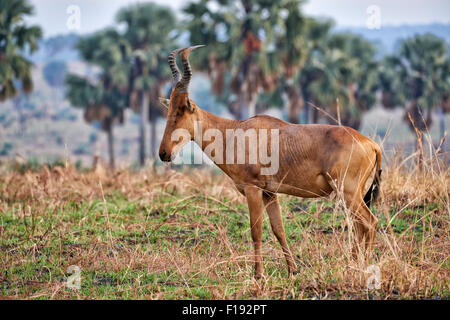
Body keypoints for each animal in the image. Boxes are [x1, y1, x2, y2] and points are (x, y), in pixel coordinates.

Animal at [159, 46, 384, 278]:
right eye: (169, 109)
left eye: (181, 110)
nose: (164, 153)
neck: (236, 131)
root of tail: (371, 144)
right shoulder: (269, 193)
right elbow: (278, 230)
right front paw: (293, 270)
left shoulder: (253, 189)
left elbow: (256, 230)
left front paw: (258, 274)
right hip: (354, 194)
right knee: (359, 225)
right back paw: (355, 263)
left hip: (348, 192)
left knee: (369, 222)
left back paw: (362, 266)